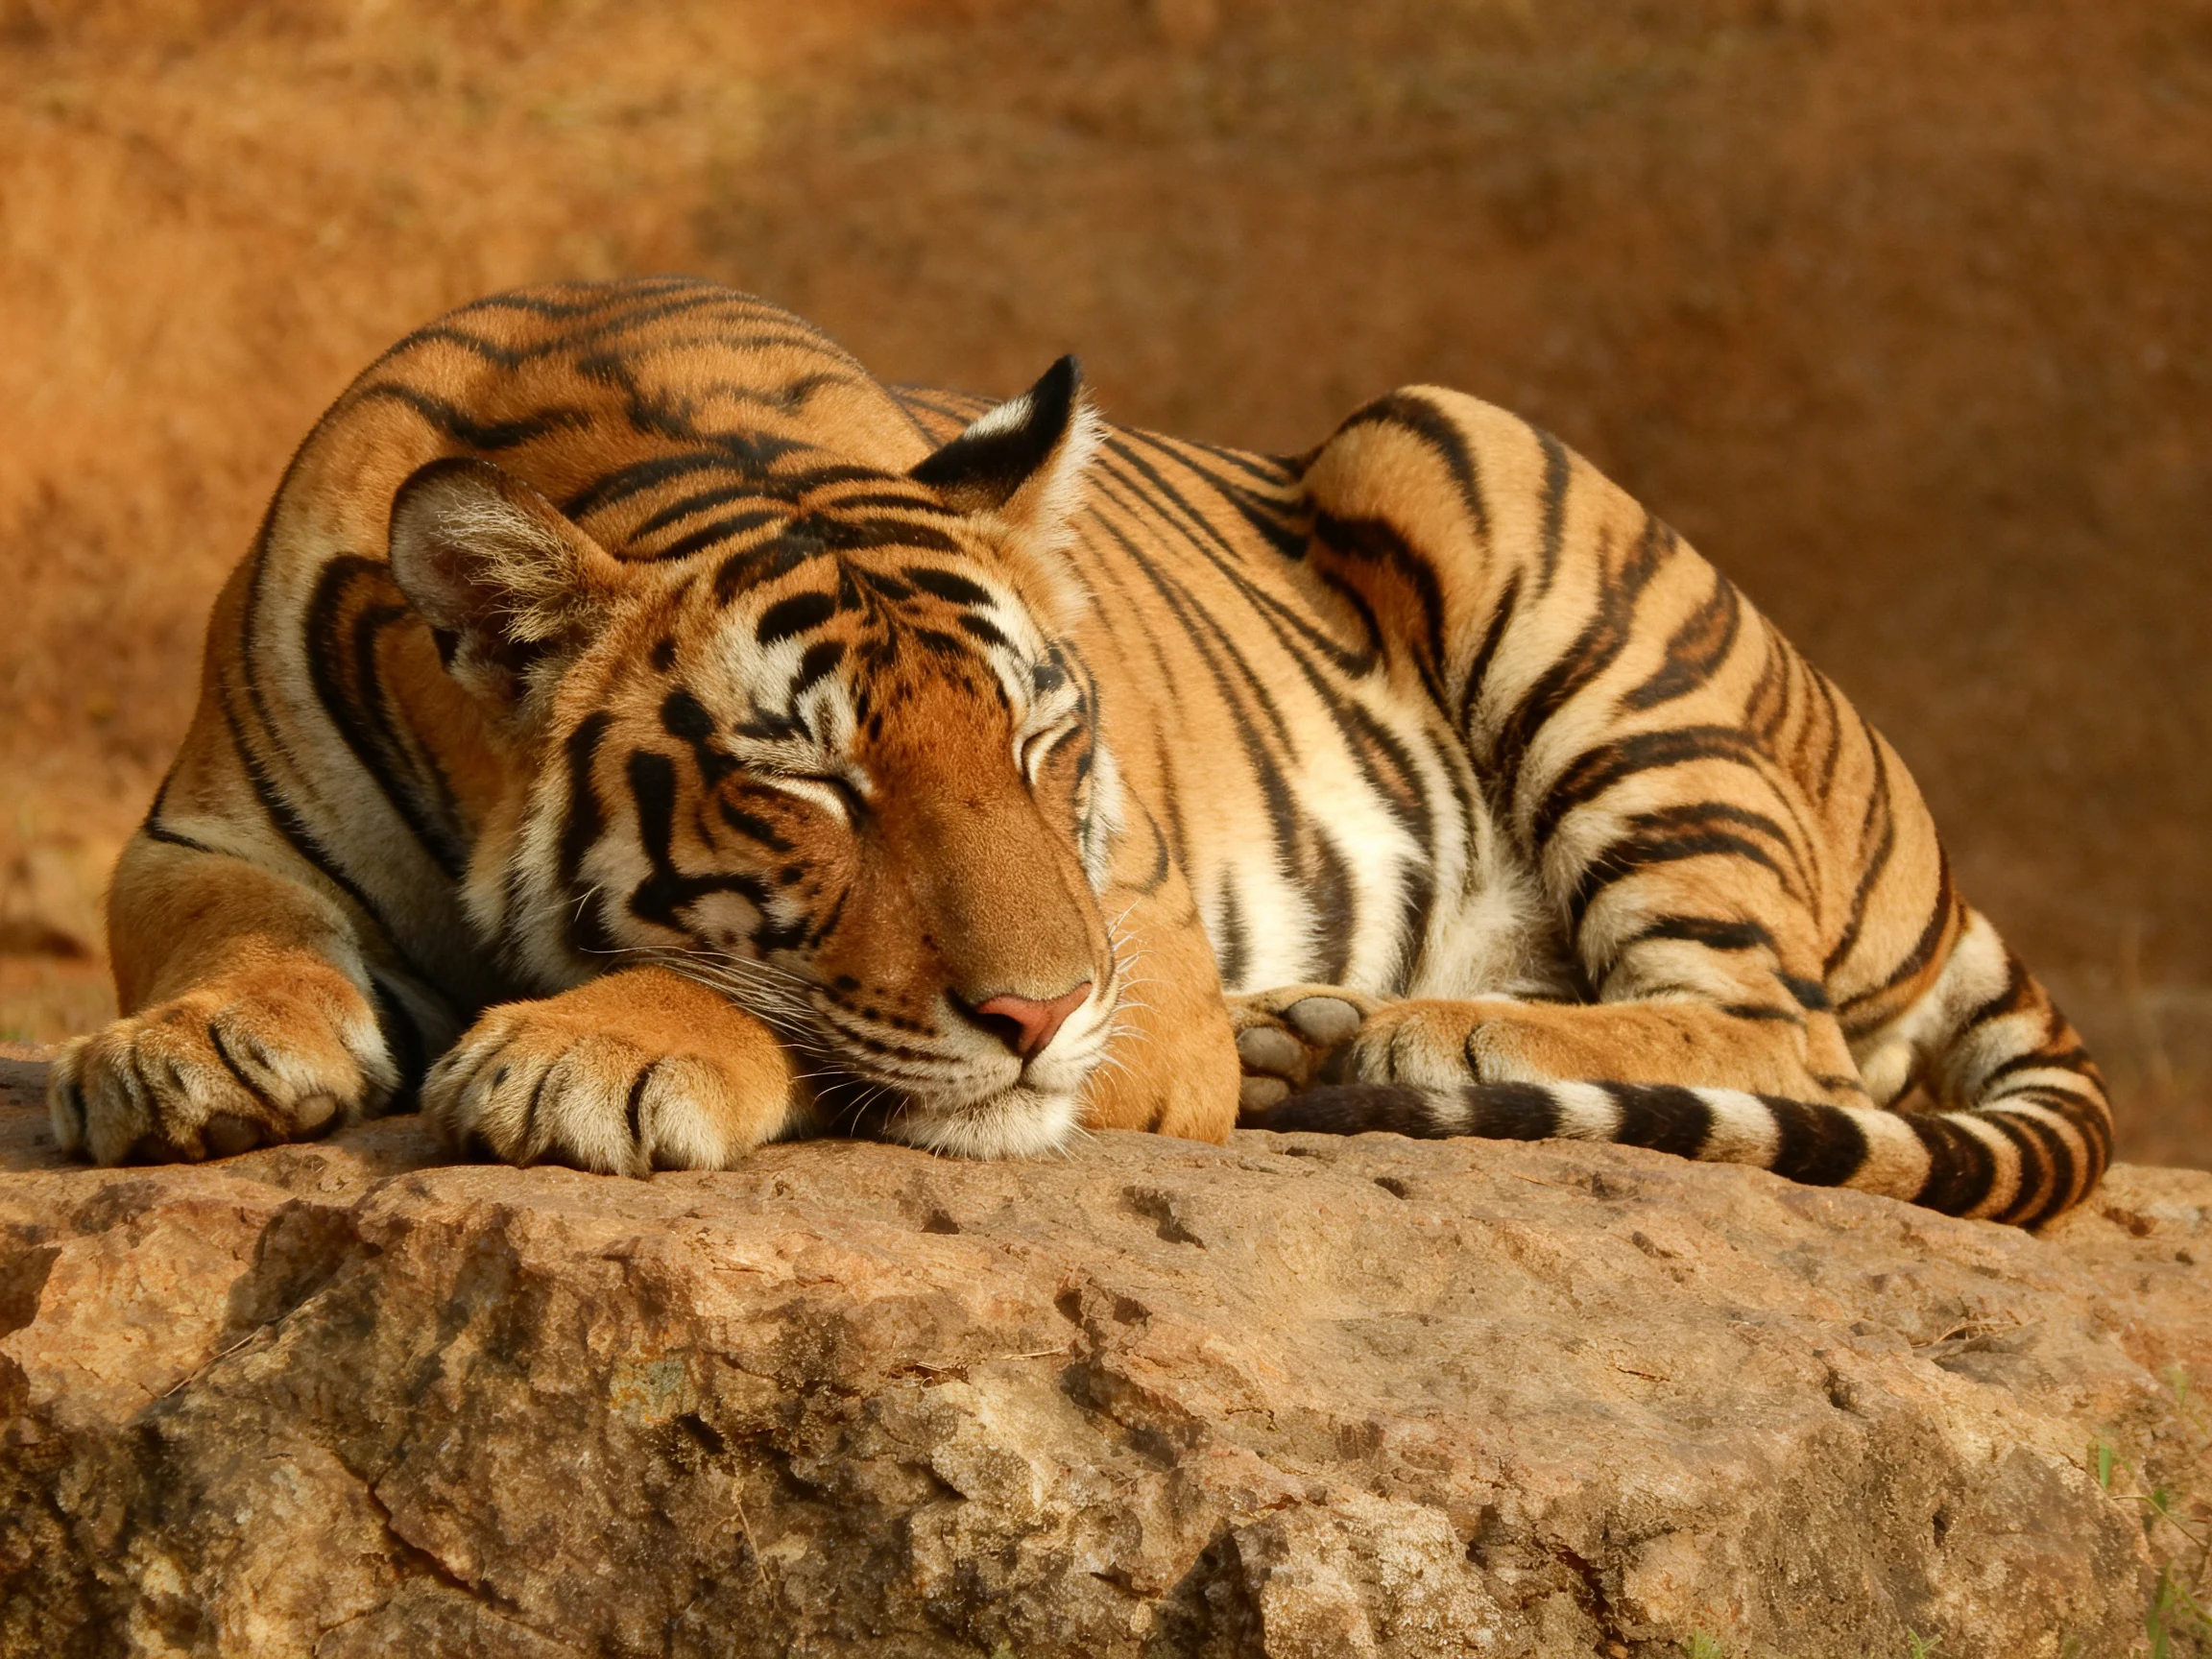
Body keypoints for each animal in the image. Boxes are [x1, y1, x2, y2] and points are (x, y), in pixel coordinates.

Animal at [45, 276, 2112, 1227]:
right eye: (807, 786)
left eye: (1046, 745)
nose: (1044, 1017)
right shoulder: (198, 829)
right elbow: (226, 932)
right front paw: (187, 1054)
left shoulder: (1153, 948)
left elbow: (772, 1008)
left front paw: (592, 1055)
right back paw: (1326, 1036)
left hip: (1466, 457)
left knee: (1776, 1028)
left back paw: (1416, 1037)